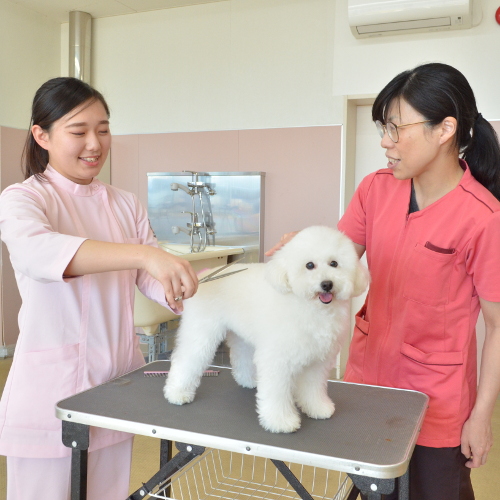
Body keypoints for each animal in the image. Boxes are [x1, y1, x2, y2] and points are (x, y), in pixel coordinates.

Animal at [163, 227, 368, 434]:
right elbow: (277, 392)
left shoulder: (317, 360)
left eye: (334, 263)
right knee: (186, 360)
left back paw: (249, 380)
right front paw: (280, 421)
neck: (311, 308)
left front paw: (317, 408)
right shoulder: (277, 360)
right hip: (201, 332)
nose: (327, 284)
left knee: (241, 356)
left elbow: (313, 387)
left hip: (241, 334)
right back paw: (177, 393)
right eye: (309, 265)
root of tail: (204, 275)